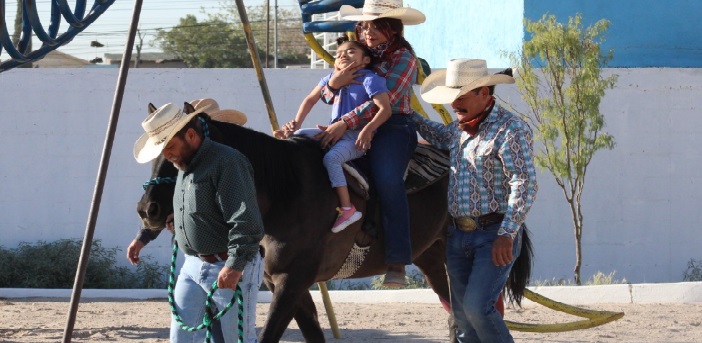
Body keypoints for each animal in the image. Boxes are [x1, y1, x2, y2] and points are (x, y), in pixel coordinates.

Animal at [138, 105, 532, 343]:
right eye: (156, 154)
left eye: (176, 154)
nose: (148, 210)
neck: (284, 191)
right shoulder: (287, 284)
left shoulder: (292, 281)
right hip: (434, 258)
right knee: (456, 316)